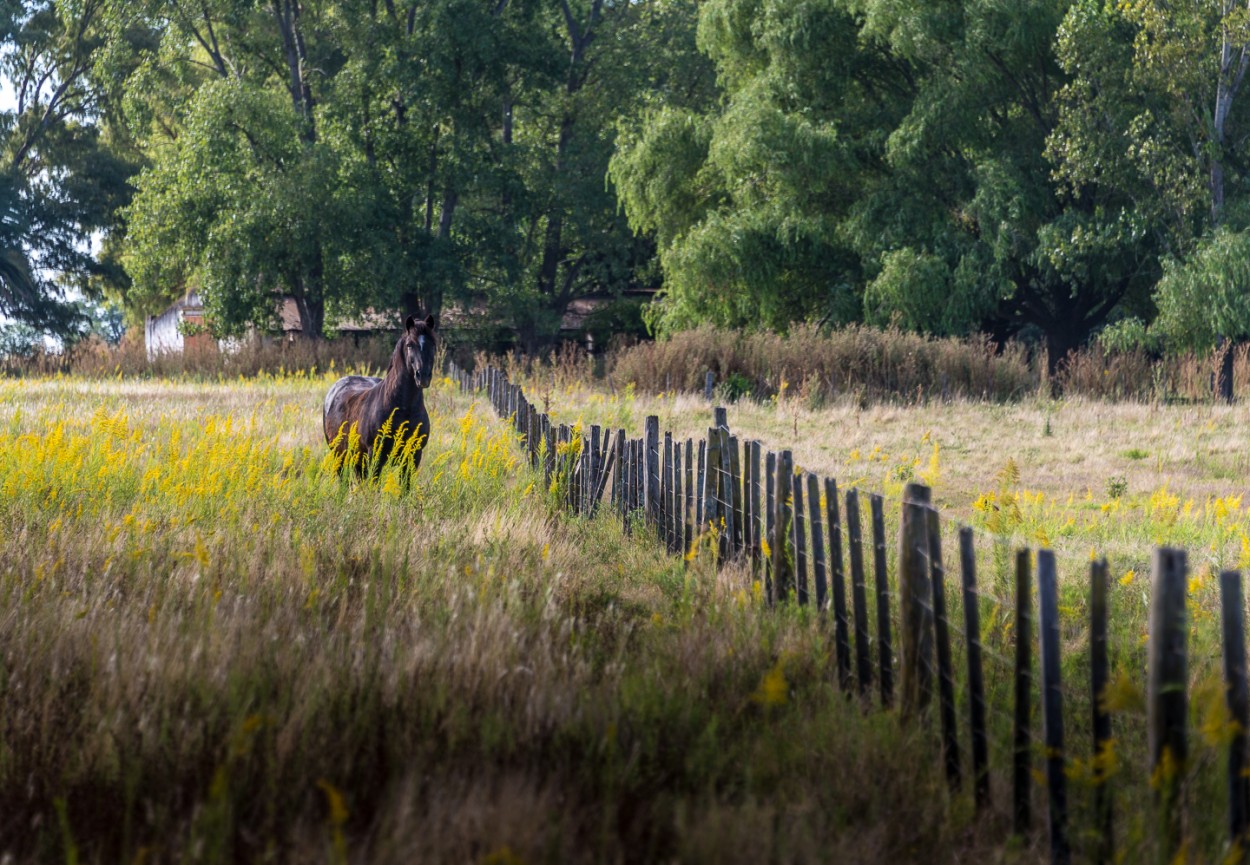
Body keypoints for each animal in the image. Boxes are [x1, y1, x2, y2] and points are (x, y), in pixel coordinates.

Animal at [320, 312, 437, 472]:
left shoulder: (413, 456)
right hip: (339, 455)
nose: (423, 376)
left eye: (433, 344)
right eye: (409, 345)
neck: (404, 409)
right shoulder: (375, 455)